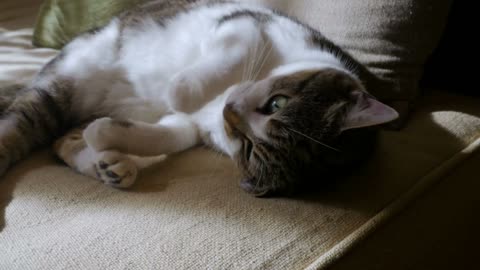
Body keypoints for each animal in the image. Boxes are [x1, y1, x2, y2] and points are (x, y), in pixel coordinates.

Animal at [0, 1, 398, 197]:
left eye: (249, 148)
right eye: (277, 103)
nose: (229, 111)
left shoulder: (192, 127)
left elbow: (169, 135)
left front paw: (104, 133)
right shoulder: (250, 23)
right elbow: (236, 47)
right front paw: (178, 89)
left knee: (58, 141)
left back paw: (106, 164)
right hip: (62, 84)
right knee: (17, 130)